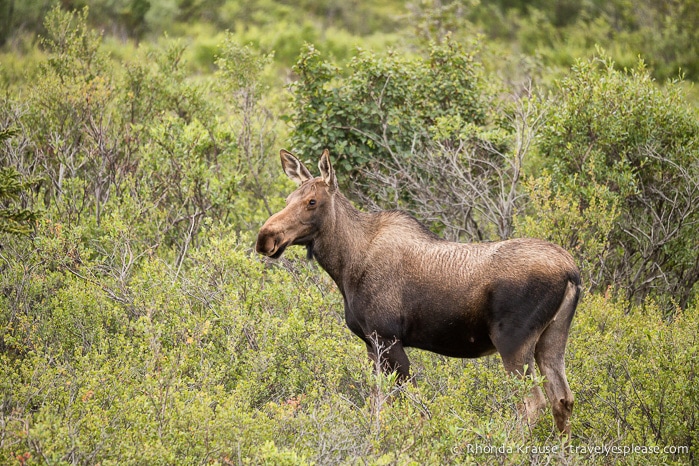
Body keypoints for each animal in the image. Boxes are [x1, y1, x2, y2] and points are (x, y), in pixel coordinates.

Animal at [254, 148, 584, 434]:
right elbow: (379, 406)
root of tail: (572, 273)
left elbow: (408, 407)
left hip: (513, 342)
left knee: (532, 402)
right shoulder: (371, 344)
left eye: (311, 201)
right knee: (562, 398)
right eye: (288, 198)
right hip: (551, 339)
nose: (265, 237)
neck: (345, 265)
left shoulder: (388, 338)